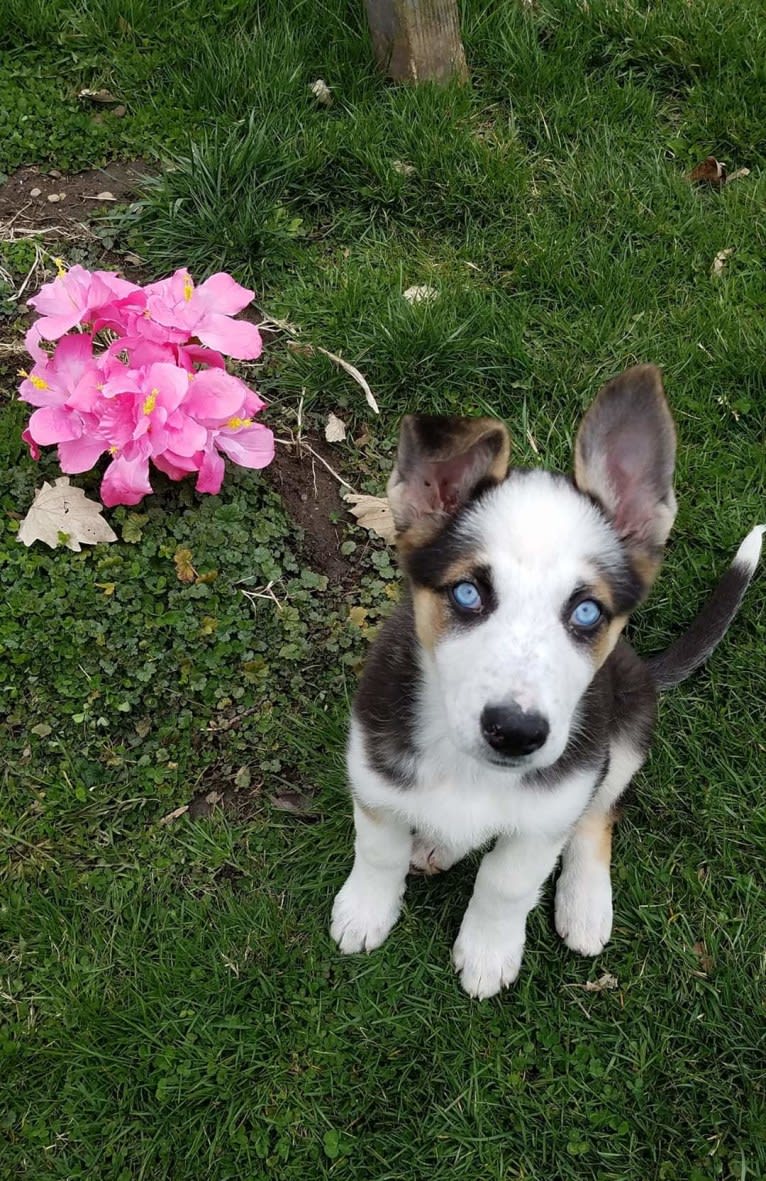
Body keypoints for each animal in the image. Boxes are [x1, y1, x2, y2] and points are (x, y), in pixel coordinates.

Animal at [330, 366, 760, 996]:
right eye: (467, 593)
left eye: (586, 611)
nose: (515, 732)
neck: (469, 770)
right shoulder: (375, 773)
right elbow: (377, 849)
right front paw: (364, 912)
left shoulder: (551, 808)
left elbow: (506, 881)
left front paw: (488, 951)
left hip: (625, 733)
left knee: (598, 819)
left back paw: (585, 905)